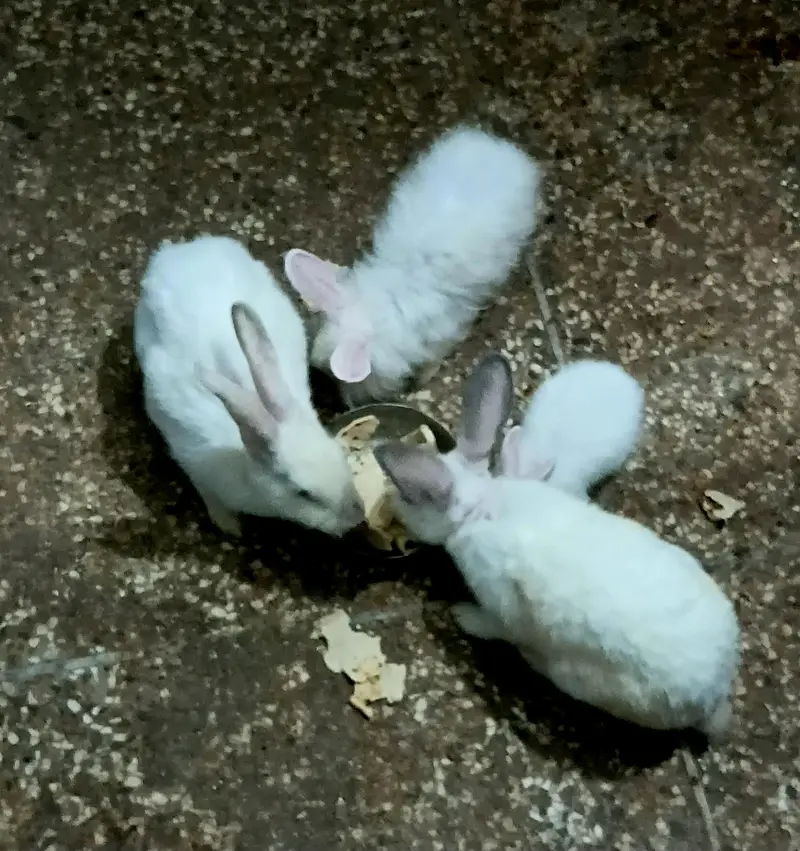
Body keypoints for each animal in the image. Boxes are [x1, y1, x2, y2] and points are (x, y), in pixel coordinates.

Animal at [134, 234, 364, 538]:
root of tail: (174, 252)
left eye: (340, 453)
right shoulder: (195, 467)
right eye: (304, 494)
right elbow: (208, 495)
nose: (358, 513)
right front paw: (229, 526)